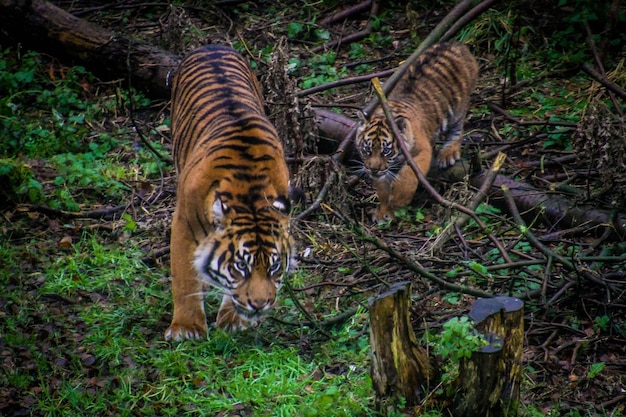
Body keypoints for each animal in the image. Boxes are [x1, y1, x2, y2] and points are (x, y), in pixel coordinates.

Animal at [165, 44, 294, 340]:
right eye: (241, 266)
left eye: (274, 267)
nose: (259, 304)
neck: (250, 192)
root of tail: (212, 45)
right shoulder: (183, 223)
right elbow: (184, 275)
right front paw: (186, 328)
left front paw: (234, 320)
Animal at [354, 41, 476, 223]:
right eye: (367, 149)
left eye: (386, 151)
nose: (373, 170)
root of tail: (456, 44)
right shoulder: (382, 172)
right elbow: (382, 189)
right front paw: (384, 213)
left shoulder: (422, 151)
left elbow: (409, 174)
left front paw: (399, 200)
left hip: (458, 108)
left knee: (458, 128)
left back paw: (448, 153)